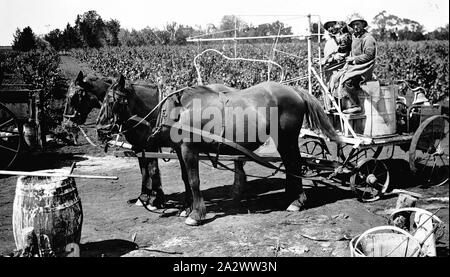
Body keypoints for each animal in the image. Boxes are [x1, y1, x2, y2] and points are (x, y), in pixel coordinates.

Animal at [107, 75, 340, 224]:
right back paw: (291, 198)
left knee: (294, 164)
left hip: (287, 139)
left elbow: (194, 180)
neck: (176, 109)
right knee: (292, 166)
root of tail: (294, 90)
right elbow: (185, 179)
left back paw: (297, 201)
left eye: (112, 101)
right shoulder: (180, 149)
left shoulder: (189, 149)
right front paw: (186, 208)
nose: (102, 129)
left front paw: (195, 214)